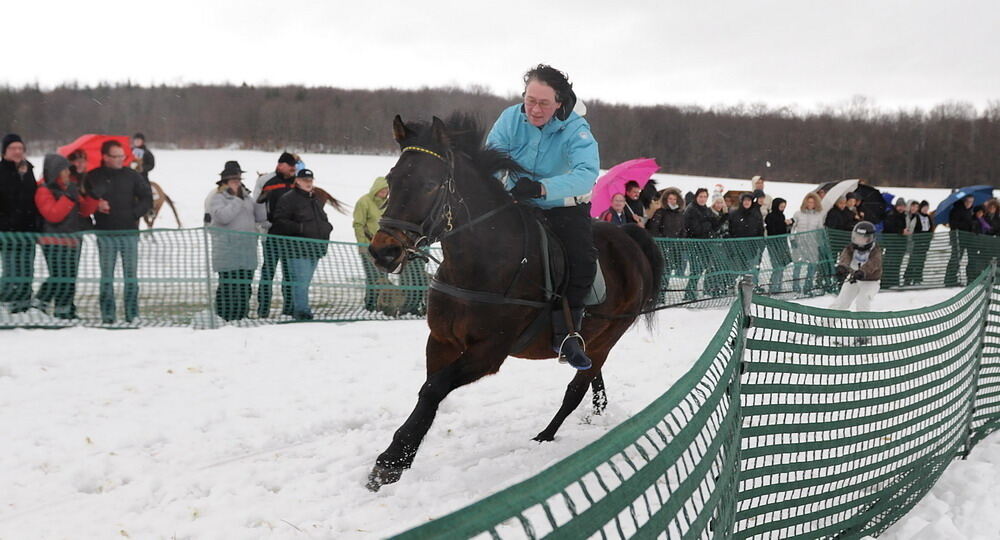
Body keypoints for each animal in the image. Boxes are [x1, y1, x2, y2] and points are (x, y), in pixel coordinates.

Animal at [368, 115, 664, 494]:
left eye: (431, 184)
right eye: (391, 179)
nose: (384, 251)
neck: (481, 262)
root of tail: (630, 237)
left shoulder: (488, 352)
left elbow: (432, 390)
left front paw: (390, 461)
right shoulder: (441, 341)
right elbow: (429, 393)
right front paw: (399, 458)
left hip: (610, 335)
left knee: (577, 387)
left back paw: (545, 435)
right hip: (597, 338)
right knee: (591, 376)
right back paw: (597, 410)